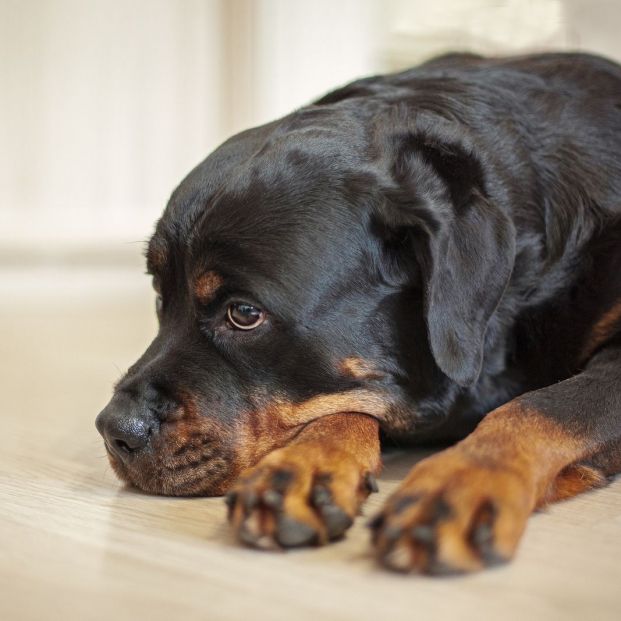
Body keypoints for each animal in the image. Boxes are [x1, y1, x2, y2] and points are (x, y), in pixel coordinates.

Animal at [95, 50, 620, 572]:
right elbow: (347, 404)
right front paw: (306, 461)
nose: (115, 429)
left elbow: (545, 405)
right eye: (160, 296)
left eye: (243, 313)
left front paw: (461, 478)